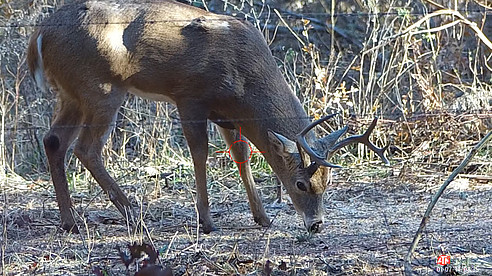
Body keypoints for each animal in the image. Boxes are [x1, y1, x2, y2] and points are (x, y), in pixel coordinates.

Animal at [26, 0, 390, 235]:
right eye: (300, 183)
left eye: (328, 182)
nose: (316, 224)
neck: (244, 81)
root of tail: (39, 35)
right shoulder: (190, 98)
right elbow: (199, 154)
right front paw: (207, 221)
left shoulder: (228, 117)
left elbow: (241, 156)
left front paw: (262, 218)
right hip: (100, 88)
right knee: (86, 148)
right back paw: (133, 214)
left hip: (72, 93)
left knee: (54, 141)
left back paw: (71, 222)